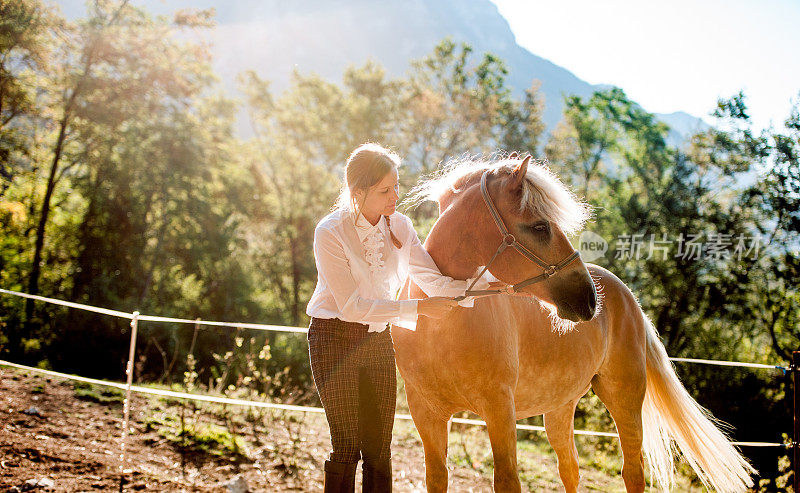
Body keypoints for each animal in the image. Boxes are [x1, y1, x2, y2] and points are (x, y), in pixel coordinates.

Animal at [394, 157, 756, 492]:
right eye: (540, 227)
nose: (589, 298)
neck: (441, 322)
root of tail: (628, 297)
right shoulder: (427, 415)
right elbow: (437, 478)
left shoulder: (500, 411)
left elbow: (508, 480)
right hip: (560, 407)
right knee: (570, 469)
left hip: (624, 398)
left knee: (632, 472)